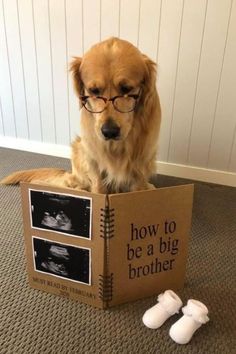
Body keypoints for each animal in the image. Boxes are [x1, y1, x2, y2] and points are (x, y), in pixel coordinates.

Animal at [0, 38, 160, 194]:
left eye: (126, 89)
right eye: (94, 90)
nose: (109, 132)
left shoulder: (142, 164)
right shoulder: (93, 159)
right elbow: (98, 188)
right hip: (79, 150)